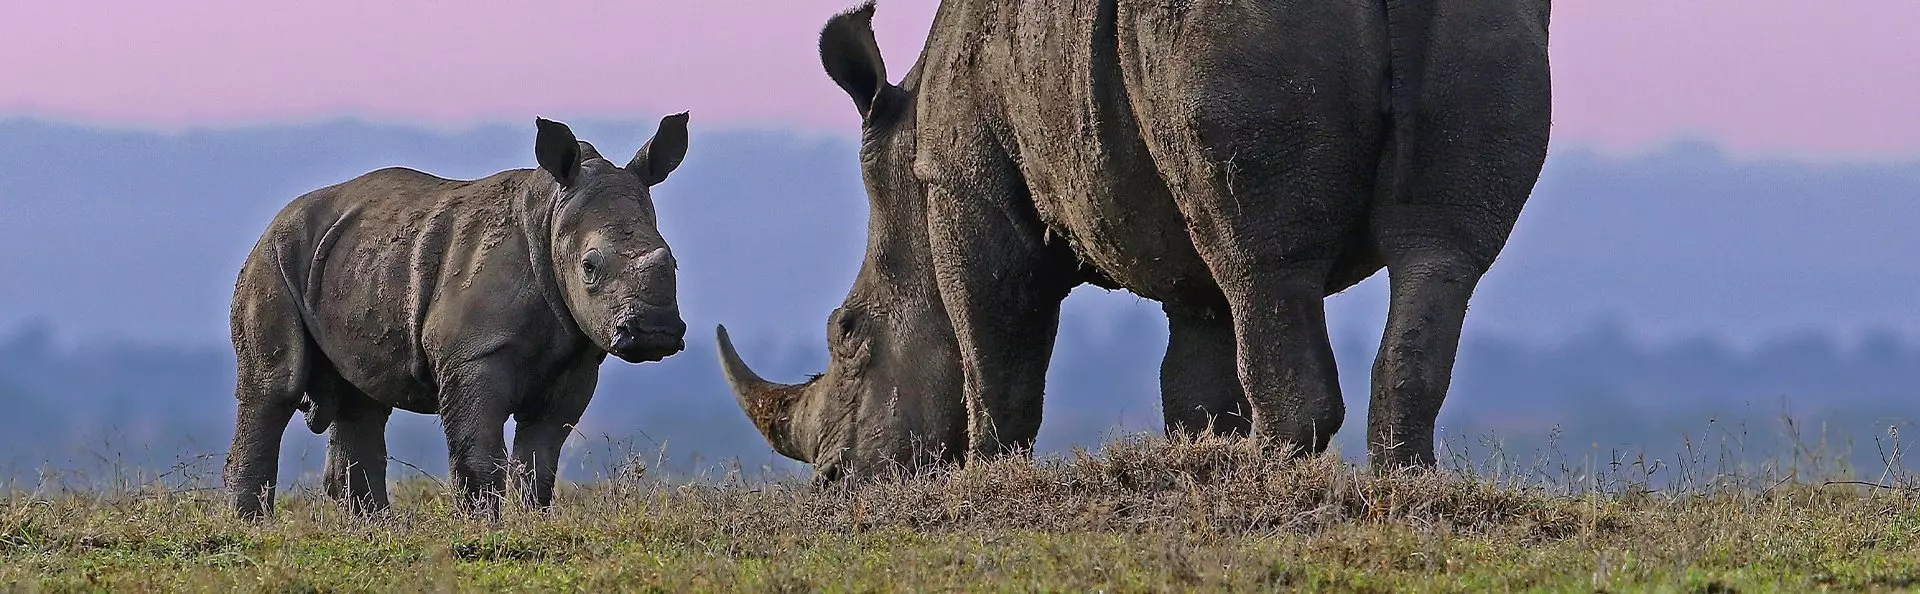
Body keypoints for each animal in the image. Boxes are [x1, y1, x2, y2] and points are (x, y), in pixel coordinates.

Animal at [226, 114, 691, 518]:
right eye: (590, 267)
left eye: (673, 262)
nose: (655, 332)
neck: (550, 219)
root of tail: (273, 222)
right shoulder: (473, 352)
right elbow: (478, 448)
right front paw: (485, 524)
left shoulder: (577, 360)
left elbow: (541, 454)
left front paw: (533, 521)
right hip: (273, 257)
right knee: (275, 386)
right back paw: (255, 525)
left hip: (353, 256)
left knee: (362, 399)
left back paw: (375, 529)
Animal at [717, 0, 1551, 479]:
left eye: (848, 330)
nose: (836, 483)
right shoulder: (1179, 254)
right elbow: (1195, 370)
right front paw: (1196, 460)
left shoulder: (962, 186)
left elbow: (992, 342)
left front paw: (985, 483)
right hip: (1484, 21)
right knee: (1438, 253)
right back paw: (1402, 486)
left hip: (1232, 28)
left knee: (1263, 265)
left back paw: (1271, 478)